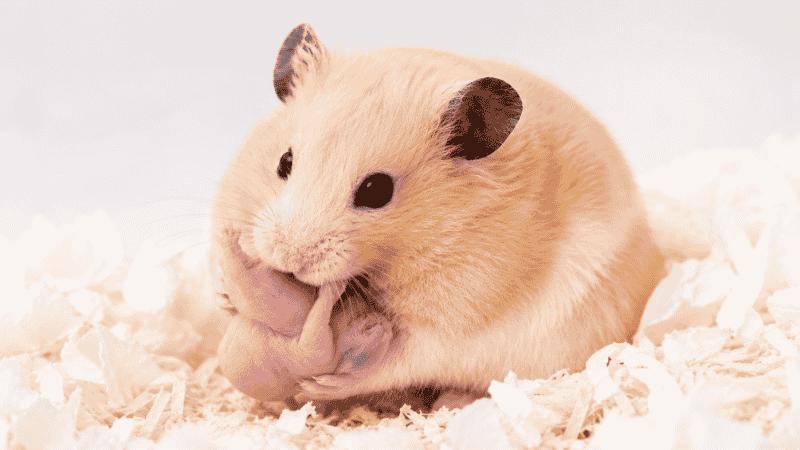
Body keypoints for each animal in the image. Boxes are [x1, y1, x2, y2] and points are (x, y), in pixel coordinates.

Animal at [211, 23, 665, 406]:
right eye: (284, 162)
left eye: (377, 191)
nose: (288, 259)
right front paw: (226, 296)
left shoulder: (457, 322)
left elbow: (404, 355)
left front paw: (323, 384)